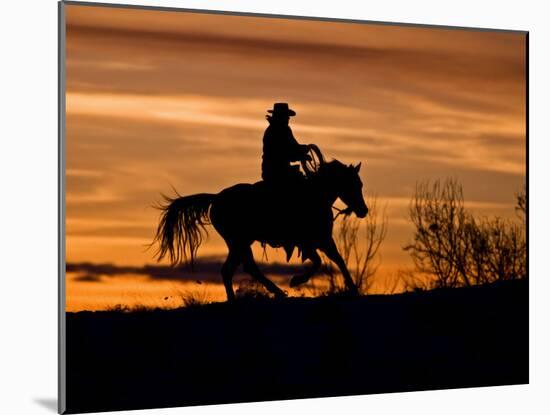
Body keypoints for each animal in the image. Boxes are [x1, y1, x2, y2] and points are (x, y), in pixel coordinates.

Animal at [153, 147, 368, 302]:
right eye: (353, 184)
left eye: (360, 184)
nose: (363, 210)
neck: (315, 196)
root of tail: (216, 198)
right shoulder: (309, 241)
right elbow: (318, 262)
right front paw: (296, 280)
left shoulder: (323, 239)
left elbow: (338, 260)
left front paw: (354, 288)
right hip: (239, 241)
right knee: (245, 268)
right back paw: (275, 292)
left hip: (238, 243)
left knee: (233, 269)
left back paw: (241, 297)